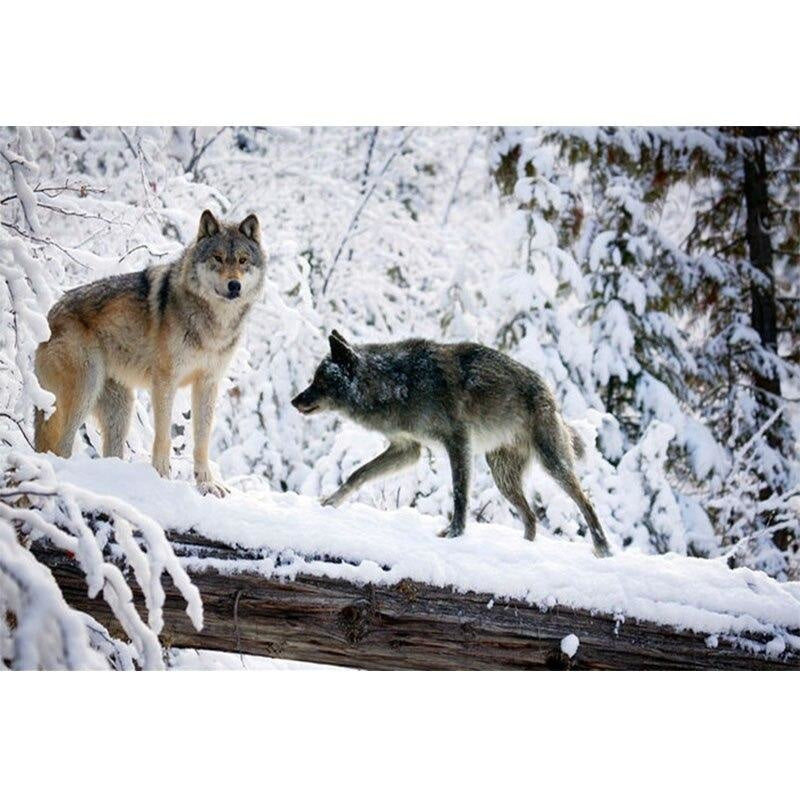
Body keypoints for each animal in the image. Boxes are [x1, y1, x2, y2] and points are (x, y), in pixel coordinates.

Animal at [33, 210, 266, 496]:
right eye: (218, 258)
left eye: (243, 260)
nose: (234, 285)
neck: (213, 323)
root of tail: (48, 317)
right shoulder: (165, 380)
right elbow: (164, 435)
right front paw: (162, 476)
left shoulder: (208, 383)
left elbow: (202, 441)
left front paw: (207, 484)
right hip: (84, 391)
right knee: (61, 446)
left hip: (121, 408)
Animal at [292, 332, 611, 556]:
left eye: (319, 381)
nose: (295, 400)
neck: (398, 383)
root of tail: (549, 392)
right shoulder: (407, 449)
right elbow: (357, 474)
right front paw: (330, 502)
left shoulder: (457, 441)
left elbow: (459, 493)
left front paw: (454, 533)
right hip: (503, 477)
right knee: (531, 517)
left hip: (552, 466)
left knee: (585, 501)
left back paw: (603, 549)